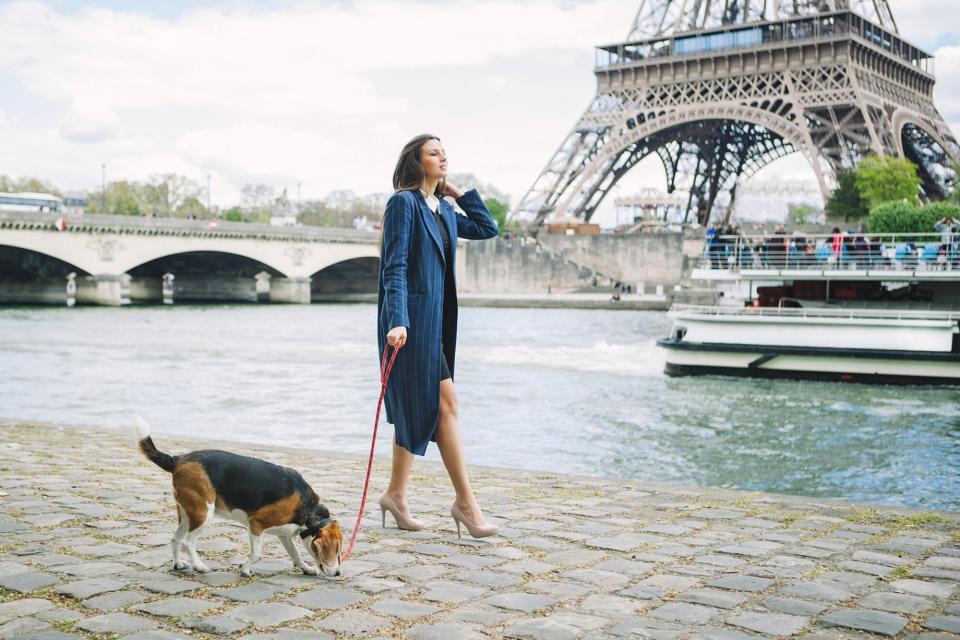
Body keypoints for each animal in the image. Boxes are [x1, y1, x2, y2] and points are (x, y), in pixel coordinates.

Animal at [133, 418, 344, 576]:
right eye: (337, 550)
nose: (338, 573)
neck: (309, 510)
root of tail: (178, 459)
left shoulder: (284, 534)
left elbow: (296, 556)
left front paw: (306, 568)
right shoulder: (256, 524)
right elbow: (256, 553)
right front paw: (244, 569)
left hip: (187, 514)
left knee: (175, 539)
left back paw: (178, 564)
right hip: (203, 513)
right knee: (188, 542)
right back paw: (199, 566)